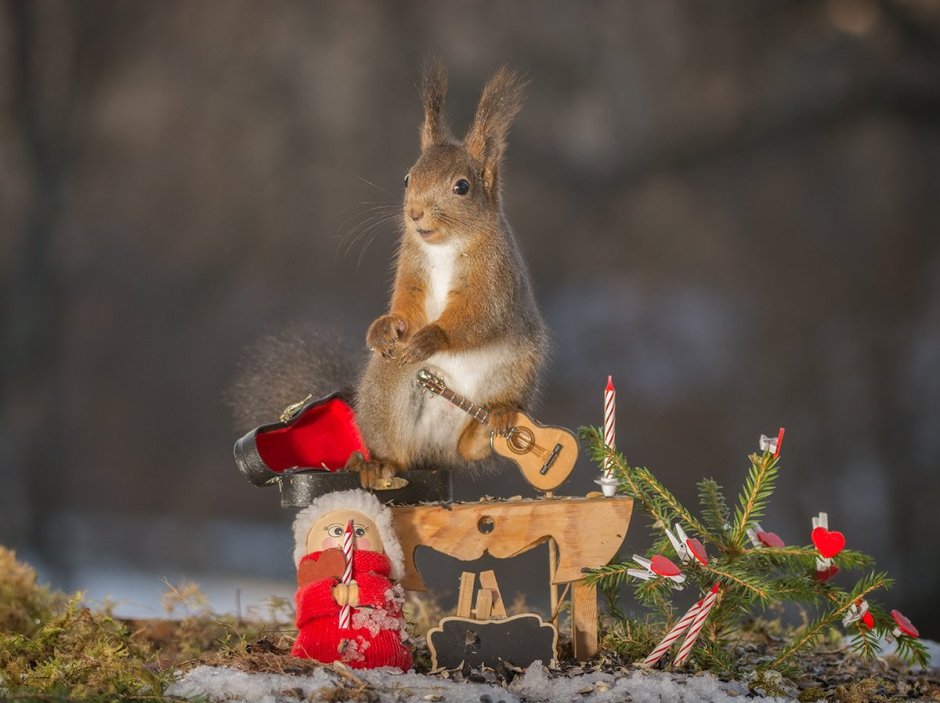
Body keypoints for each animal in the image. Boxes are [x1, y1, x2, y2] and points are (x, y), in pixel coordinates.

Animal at [348, 63, 548, 484]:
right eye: (408, 178)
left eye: (462, 187)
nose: (414, 213)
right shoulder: (412, 266)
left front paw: (430, 338)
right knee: (400, 453)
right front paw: (384, 328)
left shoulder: (494, 276)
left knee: (473, 447)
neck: (445, 245)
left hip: (518, 366)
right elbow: (406, 305)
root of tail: (436, 447)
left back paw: (495, 421)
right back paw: (377, 464)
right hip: (389, 388)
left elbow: (481, 315)